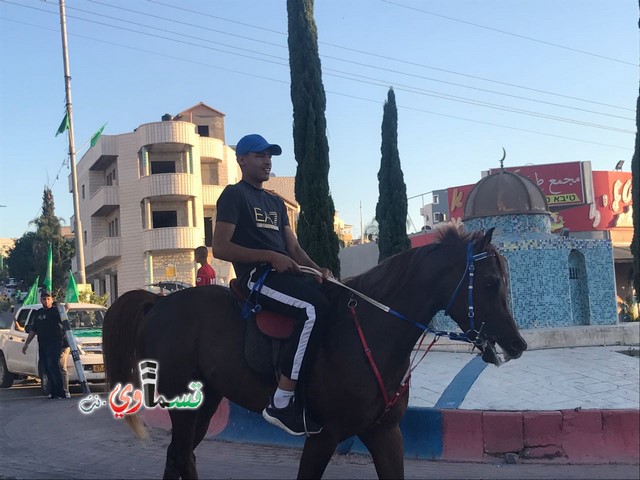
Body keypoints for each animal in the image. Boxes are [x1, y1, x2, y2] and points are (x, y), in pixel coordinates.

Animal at [104, 228, 524, 480]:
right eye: (490, 283)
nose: (516, 344)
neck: (373, 329)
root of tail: (158, 304)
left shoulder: (385, 433)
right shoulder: (324, 437)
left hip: (203, 405)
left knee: (179, 455)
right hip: (183, 406)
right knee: (180, 456)